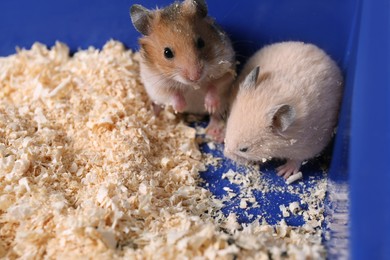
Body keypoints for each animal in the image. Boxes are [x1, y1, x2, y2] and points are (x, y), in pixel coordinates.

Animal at [130, 0, 235, 142]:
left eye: (201, 42)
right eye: (167, 53)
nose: (195, 76)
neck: (192, 85)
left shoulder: (226, 71)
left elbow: (214, 86)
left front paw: (210, 104)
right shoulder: (156, 83)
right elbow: (173, 93)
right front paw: (180, 107)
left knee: (215, 116)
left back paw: (215, 133)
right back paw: (154, 114)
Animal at [224, 41, 342, 180]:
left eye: (244, 149)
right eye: (227, 130)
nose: (225, 154)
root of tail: (326, 56)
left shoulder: (307, 147)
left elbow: (296, 160)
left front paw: (283, 173)